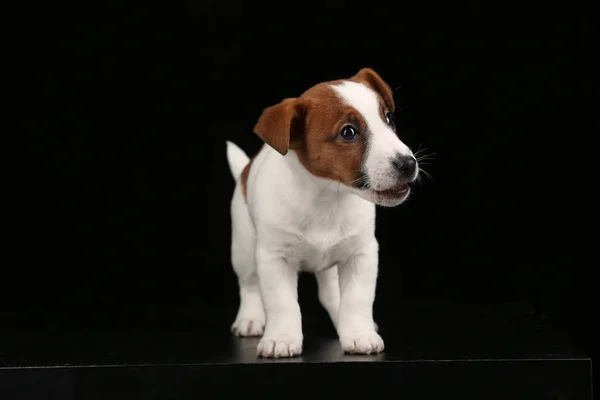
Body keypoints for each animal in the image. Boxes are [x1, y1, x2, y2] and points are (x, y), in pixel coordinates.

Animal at [224, 67, 418, 358]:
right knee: (248, 285)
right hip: (244, 248)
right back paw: (249, 319)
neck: (326, 198)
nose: (409, 164)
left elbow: (356, 299)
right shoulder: (273, 259)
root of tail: (247, 169)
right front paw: (281, 338)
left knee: (332, 294)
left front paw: (358, 334)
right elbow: (282, 303)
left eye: (388, 118)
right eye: (348, 132)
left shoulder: (361, 254)